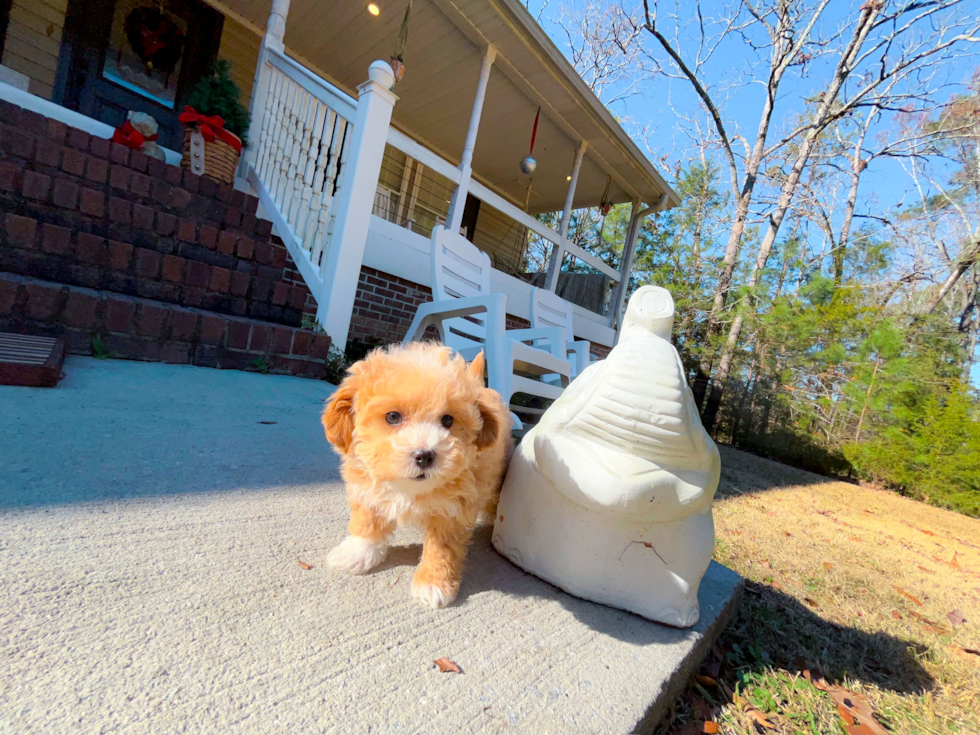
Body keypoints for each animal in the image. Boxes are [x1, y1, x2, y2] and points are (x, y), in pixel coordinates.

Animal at [326, 344, 516, 608]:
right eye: (393, 416)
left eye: (447, 420)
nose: (425, 455)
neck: (409, 489)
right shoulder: (368, 489)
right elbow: (367, 521)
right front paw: (358, 553)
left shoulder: (451, 511)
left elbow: (442, 549)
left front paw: (433, 584)